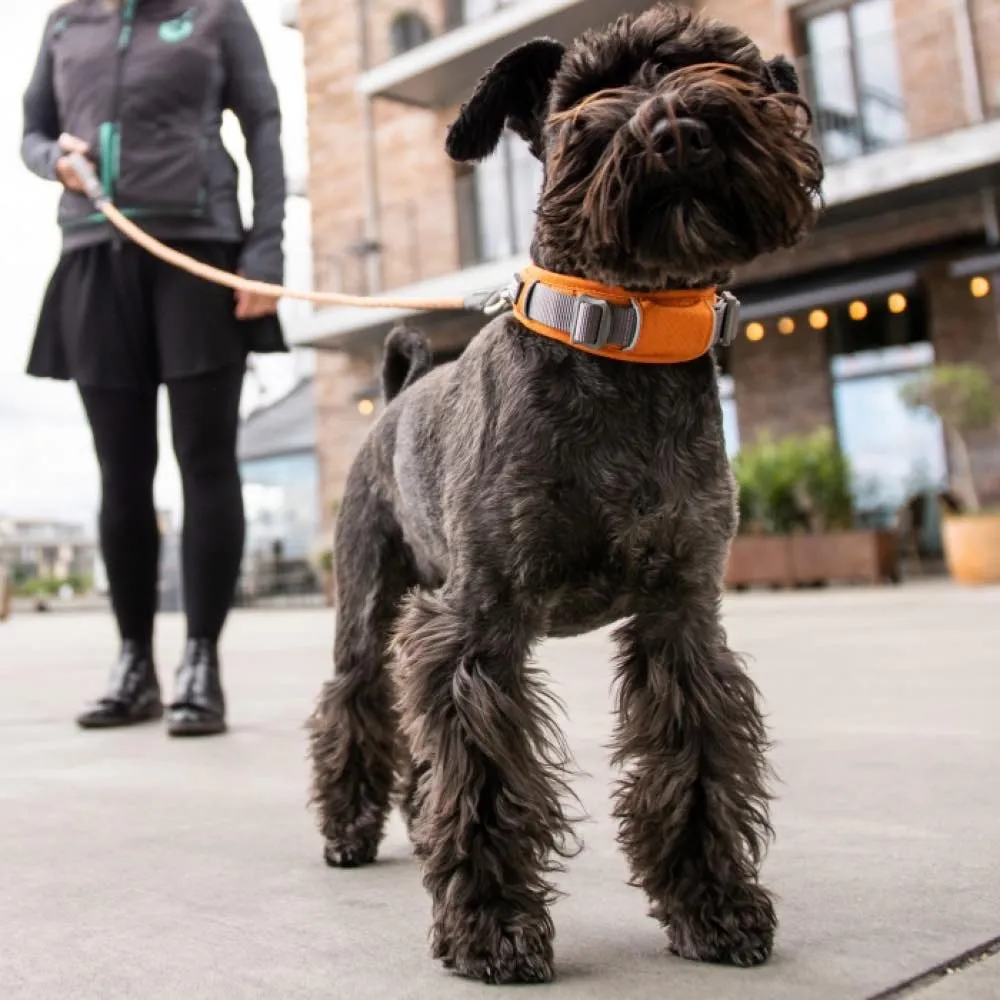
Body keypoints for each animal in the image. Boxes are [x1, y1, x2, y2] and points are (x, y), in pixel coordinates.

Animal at [306, 1, 820, 984]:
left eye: (715, 61)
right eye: (587, 91)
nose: (676, 129)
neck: (622, 339)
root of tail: (396, 395)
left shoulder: (679, 615)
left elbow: (695, 754)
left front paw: (713, 903)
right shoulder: (480, 623)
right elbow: (484, 774)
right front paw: (492, 926)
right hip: (369, 599)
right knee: (356, 696)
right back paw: (350, 827)